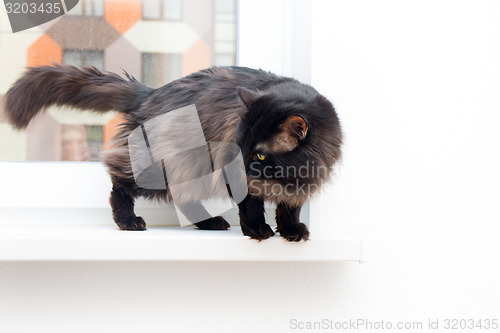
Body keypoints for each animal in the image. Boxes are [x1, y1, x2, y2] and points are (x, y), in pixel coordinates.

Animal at [3, 65, 342, 241]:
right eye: (239, 148)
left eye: (258, 155)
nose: (240, 164)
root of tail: (151, 93)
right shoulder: (238, 179)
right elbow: (251, 206)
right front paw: (257, 229)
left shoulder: (302, 182)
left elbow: (290, 207)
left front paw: (291, 230)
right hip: (164, 167)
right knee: (120, 183)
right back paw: (128, 221)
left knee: (183, 198)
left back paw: (209, 222)